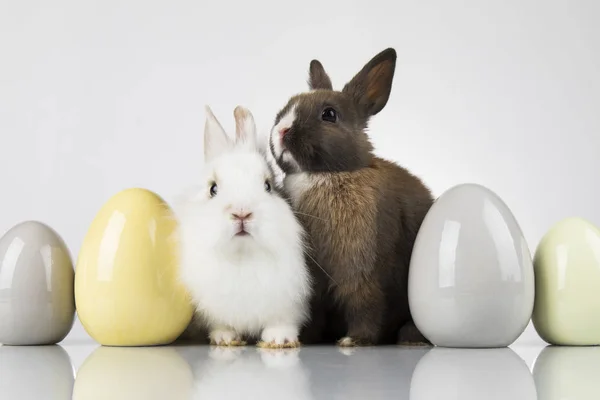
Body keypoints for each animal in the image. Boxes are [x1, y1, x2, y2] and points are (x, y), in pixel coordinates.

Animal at [175, 105, 312, 346]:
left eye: (268, 186)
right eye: (213, 189)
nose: (241, 213)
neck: (242, 258)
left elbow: (282, 322)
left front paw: (279, 338)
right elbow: (221, 325)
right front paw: (224, 338)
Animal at [270, 48, 434, 346]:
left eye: (329, 114)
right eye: (286, 107)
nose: (281, 131)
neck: (327, 174)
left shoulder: (361, 272)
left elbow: (365, 302)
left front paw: (355, 340)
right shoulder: (313, 283)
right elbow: (313, 309)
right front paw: (306, 337)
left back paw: (410, 338)